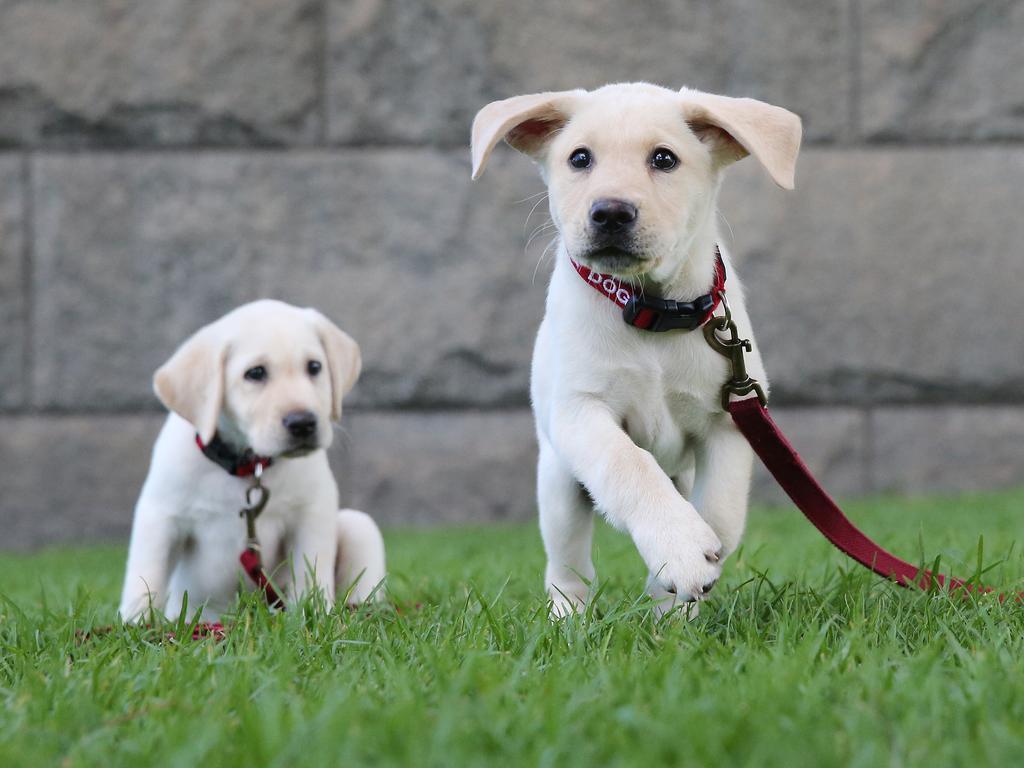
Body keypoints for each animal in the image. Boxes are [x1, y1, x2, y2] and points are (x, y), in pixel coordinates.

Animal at [117, 296, 387, 622]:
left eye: (314, 367)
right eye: (255, 373)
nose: (303, 423)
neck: (246, 465)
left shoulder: (312, 512)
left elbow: (310, 570)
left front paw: (314, 614)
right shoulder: (160, 516)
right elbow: (146, 575)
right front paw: (137, 623)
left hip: (359, 525)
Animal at [468, 81, 798, 618]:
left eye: (664, 159)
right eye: (580, 158)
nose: (610, 212)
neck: (650, 310)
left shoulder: (730, 419)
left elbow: (721, 514)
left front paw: (677, 597)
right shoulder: (580, 412)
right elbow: (628, 465)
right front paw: (680, 548)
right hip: (558, 483)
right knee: (568, 564)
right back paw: (568, 617)